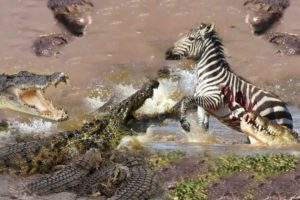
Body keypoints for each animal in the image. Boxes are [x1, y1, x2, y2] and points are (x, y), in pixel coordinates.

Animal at [164, 22, 292, 143]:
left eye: (191, 38)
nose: (167, 53)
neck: (209, 75)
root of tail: (284, 106)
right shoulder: (203, 108)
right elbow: (202, 125)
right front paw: (202, 140)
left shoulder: (216, 100)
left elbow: (186, 98)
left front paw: (184, 124)